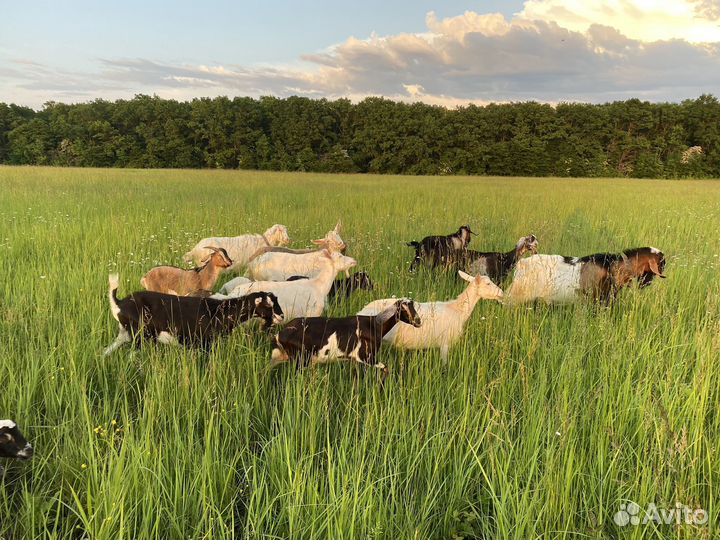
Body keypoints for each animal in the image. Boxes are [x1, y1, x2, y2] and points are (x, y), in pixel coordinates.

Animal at [104, 274, 283, 355]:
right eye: (268, 304)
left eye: (276, 300)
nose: (281, 316)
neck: (219, 312)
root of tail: (119, 303)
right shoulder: (205, 344)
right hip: (139, 336)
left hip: (125, 334)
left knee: (106, 351)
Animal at [270, 299, 422, 378]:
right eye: (403, 309)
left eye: (413, 306)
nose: (418, 321)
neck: (373, 325)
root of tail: (280, 334)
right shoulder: (366, 357)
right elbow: (386, 369)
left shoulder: (355, 360)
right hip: (300, 360)